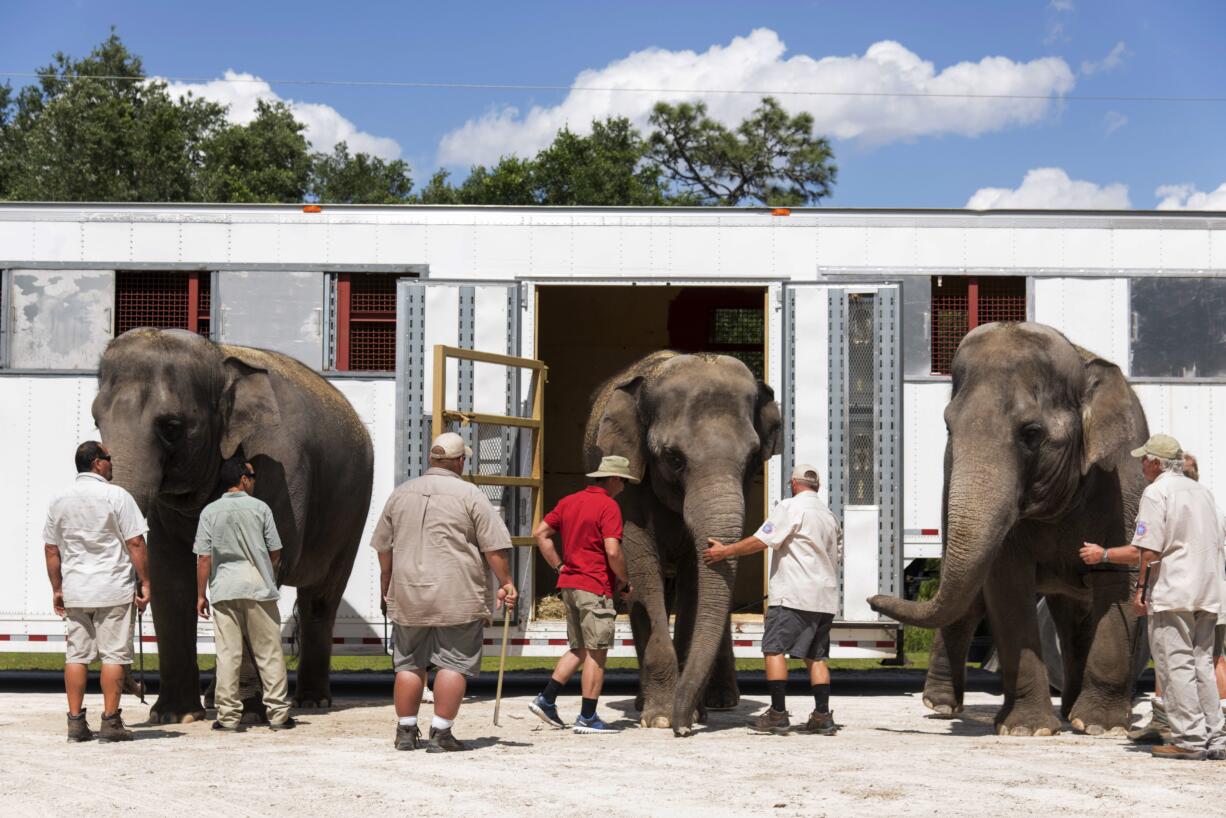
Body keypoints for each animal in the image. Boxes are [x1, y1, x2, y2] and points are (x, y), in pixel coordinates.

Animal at [91, 328, 372, 721]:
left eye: (171, 427)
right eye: (96, 420)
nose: (140, 691)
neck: (219, 361)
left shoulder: (279, 463)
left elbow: (267, 561)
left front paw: (250, 713)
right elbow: (171, 576)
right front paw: (175, 715)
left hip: (353, 508)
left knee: (320, 598)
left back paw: (312, 701)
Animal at [581, 350, 774, 735]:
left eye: (752, 458)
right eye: (673, 457)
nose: (683, 730)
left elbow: (696, 583)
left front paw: (691, 714)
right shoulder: (628, 481)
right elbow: (640, 568)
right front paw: (659, 718)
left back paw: (721, 700)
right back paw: (643, 704)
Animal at [868, 321, 1142, 735]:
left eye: (1031, 432)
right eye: (948, 427)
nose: (872, 599)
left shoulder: (1119, 486)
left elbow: (1115, 583)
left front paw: (1101, 726)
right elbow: (1006, 586)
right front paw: (1026, 729)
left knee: (1071, 613)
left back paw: (1072, 712)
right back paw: (942, 705)